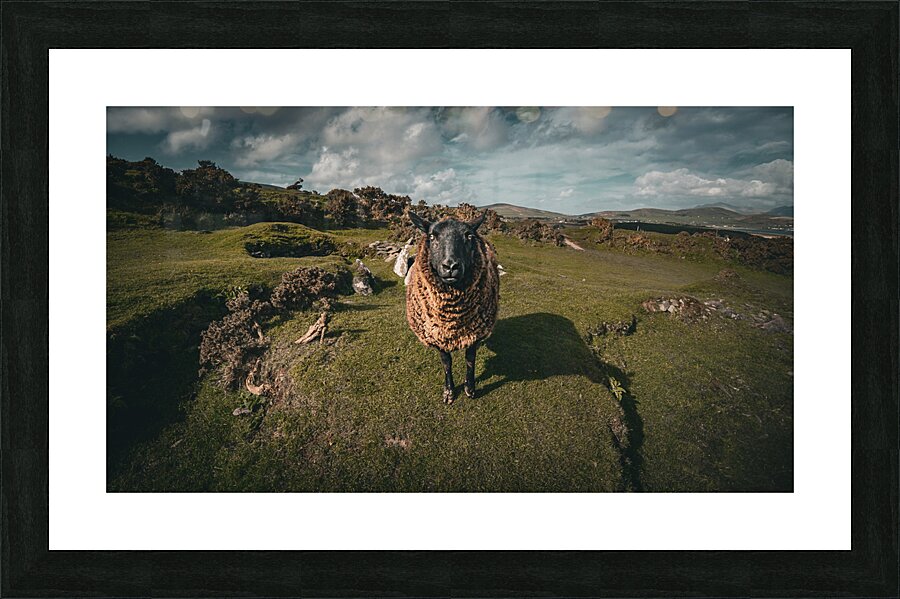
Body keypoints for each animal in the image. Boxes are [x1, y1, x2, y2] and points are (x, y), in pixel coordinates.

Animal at [405, 211, 500, 404]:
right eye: (432, 236)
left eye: (469, 236)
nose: (450, 266)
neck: (452, 317)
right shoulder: (437, 335)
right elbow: (446, 362)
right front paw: (449, 392)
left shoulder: (474, 333)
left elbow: (470, 360)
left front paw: (470, 388)